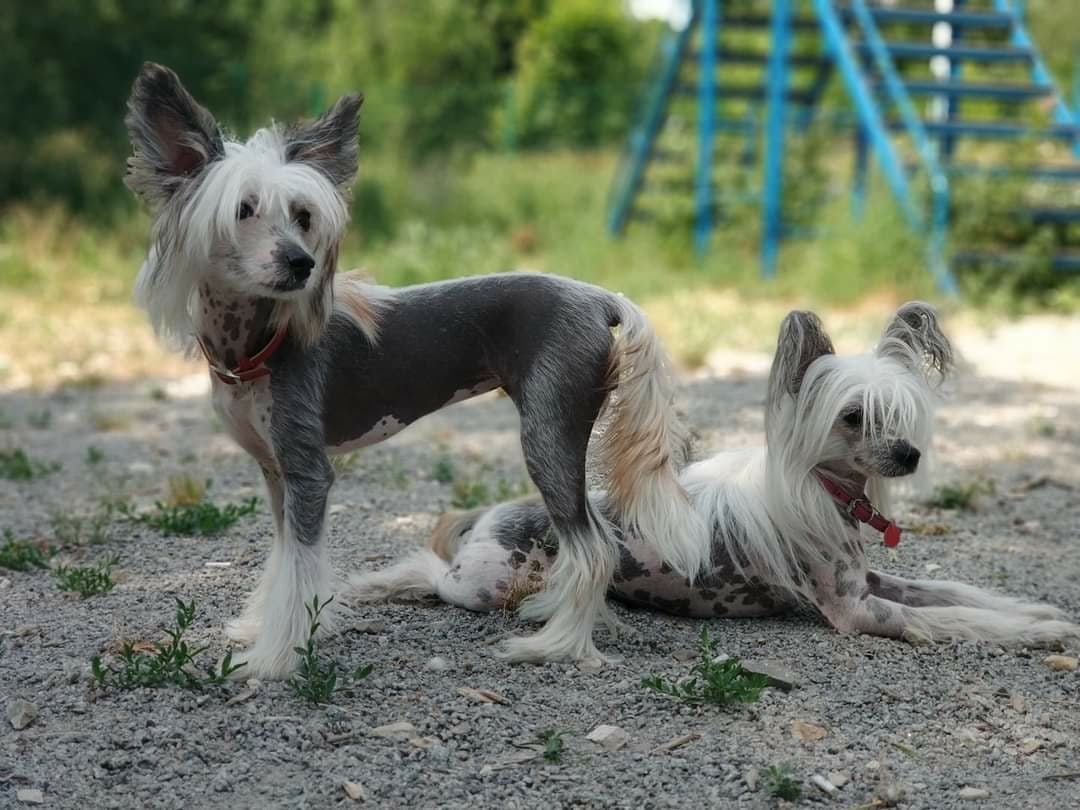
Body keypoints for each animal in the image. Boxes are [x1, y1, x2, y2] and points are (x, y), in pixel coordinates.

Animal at [124, 63, 708, 678]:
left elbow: (300, 567)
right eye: (243, 211)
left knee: (593, 548)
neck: (261, 343)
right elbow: (285, 560)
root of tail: (599, 297)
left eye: (303, 217)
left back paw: (555, 645)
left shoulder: (309, 473)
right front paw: (262, 632)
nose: (302, 263)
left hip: (550, 434)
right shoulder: (276, 472)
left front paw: (275, 658)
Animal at [354, 302, 1080, 652]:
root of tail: (490, 515)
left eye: (901, 416)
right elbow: (957, 620)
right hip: (485, 585)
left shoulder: (871, 578)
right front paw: (1040, 633)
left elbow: (955, 593)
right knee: (431, 574)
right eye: (853, 417)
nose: (908, 456)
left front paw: (1037, 610)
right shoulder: (857, 609)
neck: (828, 494)